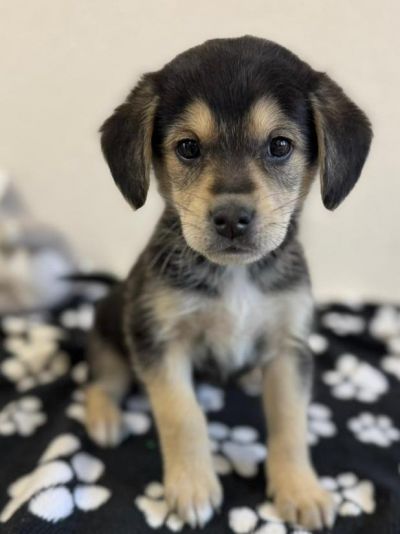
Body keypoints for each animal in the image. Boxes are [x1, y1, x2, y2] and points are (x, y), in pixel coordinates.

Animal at [84, 36, 372, 530]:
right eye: (187, 147)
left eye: (280, 145)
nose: (232, 219)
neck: (237, 276)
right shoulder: (158, 339)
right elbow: (183, 415)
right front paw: (192, 487)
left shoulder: (289, 346)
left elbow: (292, 422)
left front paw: (301, 490)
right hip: (113, 319)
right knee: (102, 377)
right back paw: (104, 417)